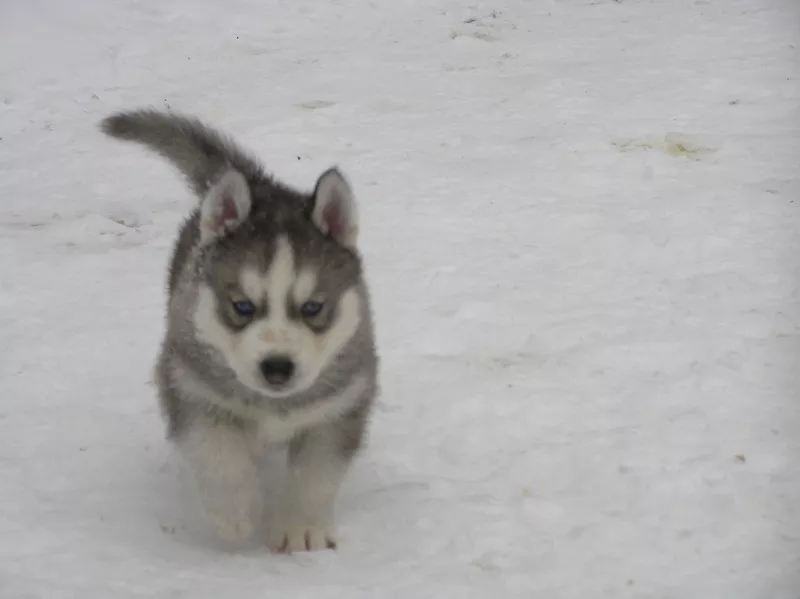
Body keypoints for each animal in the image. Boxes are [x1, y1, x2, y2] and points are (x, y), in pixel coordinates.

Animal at [99, 109, 378, 552]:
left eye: (313, 308)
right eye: (242, 307)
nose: (277, 368)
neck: (273, 405)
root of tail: (262, 183)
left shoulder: (341, 404)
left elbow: (316, 473)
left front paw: (302, 528)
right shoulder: (189, 386)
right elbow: (219, 458)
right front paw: (236, 516)